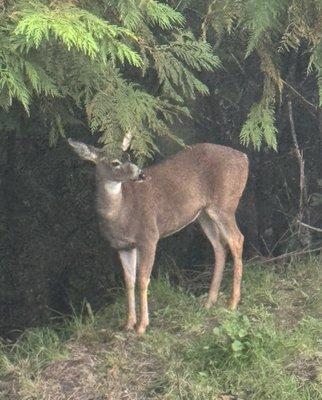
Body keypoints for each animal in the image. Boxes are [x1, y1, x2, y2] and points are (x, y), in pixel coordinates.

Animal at [68, 138, 249, 334]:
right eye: (115, 162)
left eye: (128, 156)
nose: (140, 174)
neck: (120, 213)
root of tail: (244, 158)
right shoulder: (123, 246)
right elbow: (129, 281)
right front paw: (128, 323)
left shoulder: (148, 236)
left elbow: (142, 280)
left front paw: (142, 326)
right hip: (204, 213)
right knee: (219, 246)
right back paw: (209, 302)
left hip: (224, 203)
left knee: (237, 239)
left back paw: (232, 303)